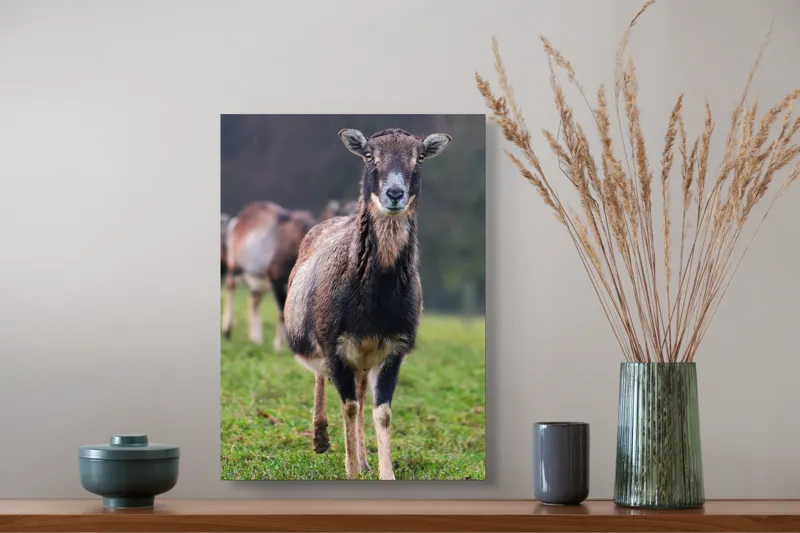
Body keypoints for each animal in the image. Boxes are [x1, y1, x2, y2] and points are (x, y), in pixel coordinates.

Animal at [222, 200, 354, 351]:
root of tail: (237, 221)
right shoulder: (277, 280)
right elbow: (282, 313)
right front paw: (279, 347)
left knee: (254, 300)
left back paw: (256, 339)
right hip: (235, 267)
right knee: (231, 289)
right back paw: (227, 331)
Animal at [283, 127, 452, 480]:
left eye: (419, 158)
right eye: (370, 155)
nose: (395, 193)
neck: (375, 300)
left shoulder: (393, 348)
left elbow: (381, 411)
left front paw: (382, 472)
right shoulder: (334, 345)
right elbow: (348, 406)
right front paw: (350, 470)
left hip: (362, 357)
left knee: (361, 395)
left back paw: (361, 457)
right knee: (325, 381)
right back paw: (321, 440)